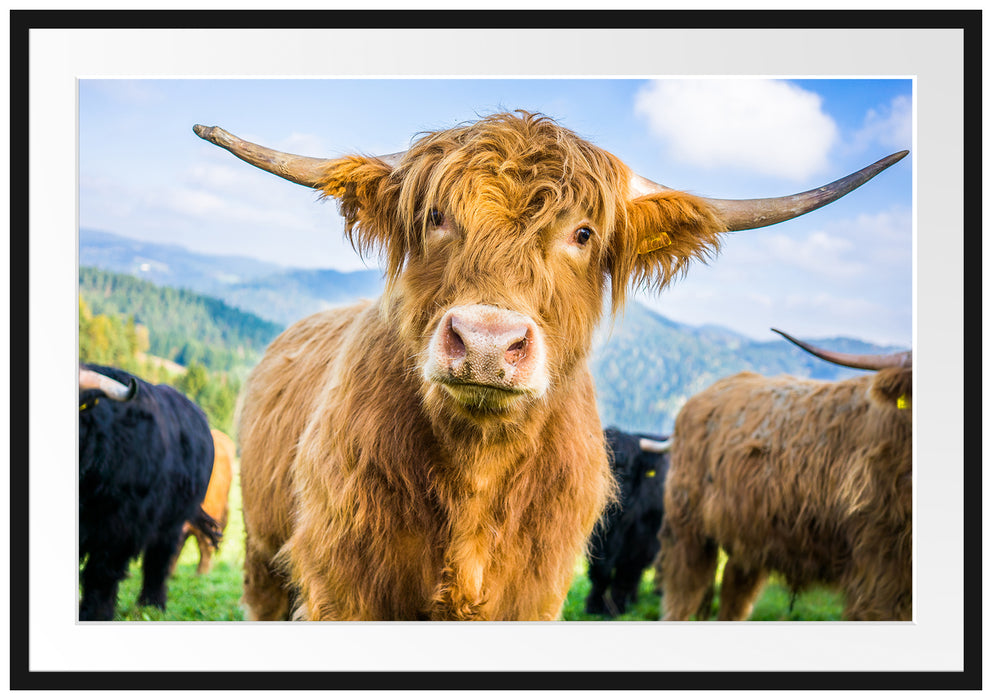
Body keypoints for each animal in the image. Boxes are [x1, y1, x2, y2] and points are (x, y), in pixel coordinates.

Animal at [78, 364, 219, 621]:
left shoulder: (119, 526)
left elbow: (101, 572)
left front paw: (95, 613)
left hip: (171, 522)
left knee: (159, 560)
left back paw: (153, 604)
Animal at [585, 428, 671, 617]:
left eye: (627, 471)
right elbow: (599, 573)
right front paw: (593, 606)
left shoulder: (641, 541)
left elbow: (625, 574)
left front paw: (614, 609)